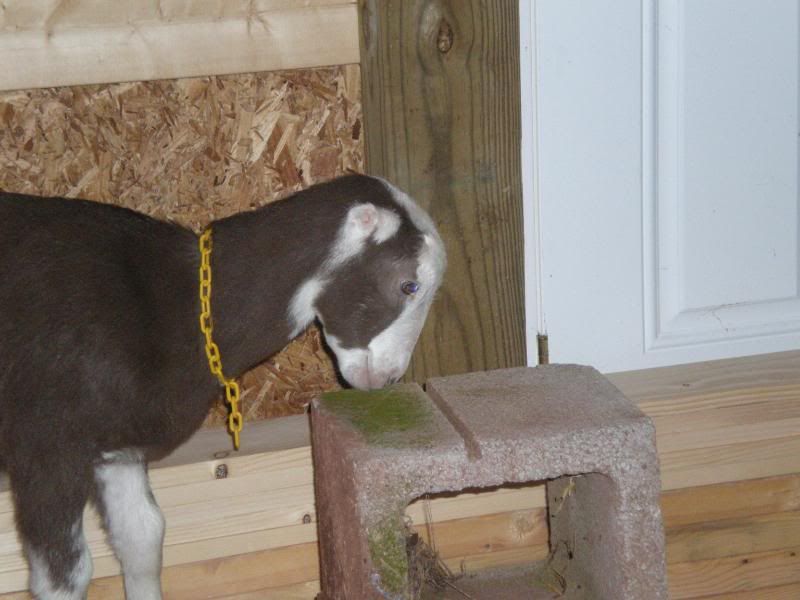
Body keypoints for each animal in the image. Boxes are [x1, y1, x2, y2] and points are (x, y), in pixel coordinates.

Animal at [0, 174, 446, 600]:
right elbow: (65, 579)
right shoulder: (48, 449)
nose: (388, 377)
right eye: (408, 285)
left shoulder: (118, 449)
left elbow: (144, 538)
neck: (177, 306)